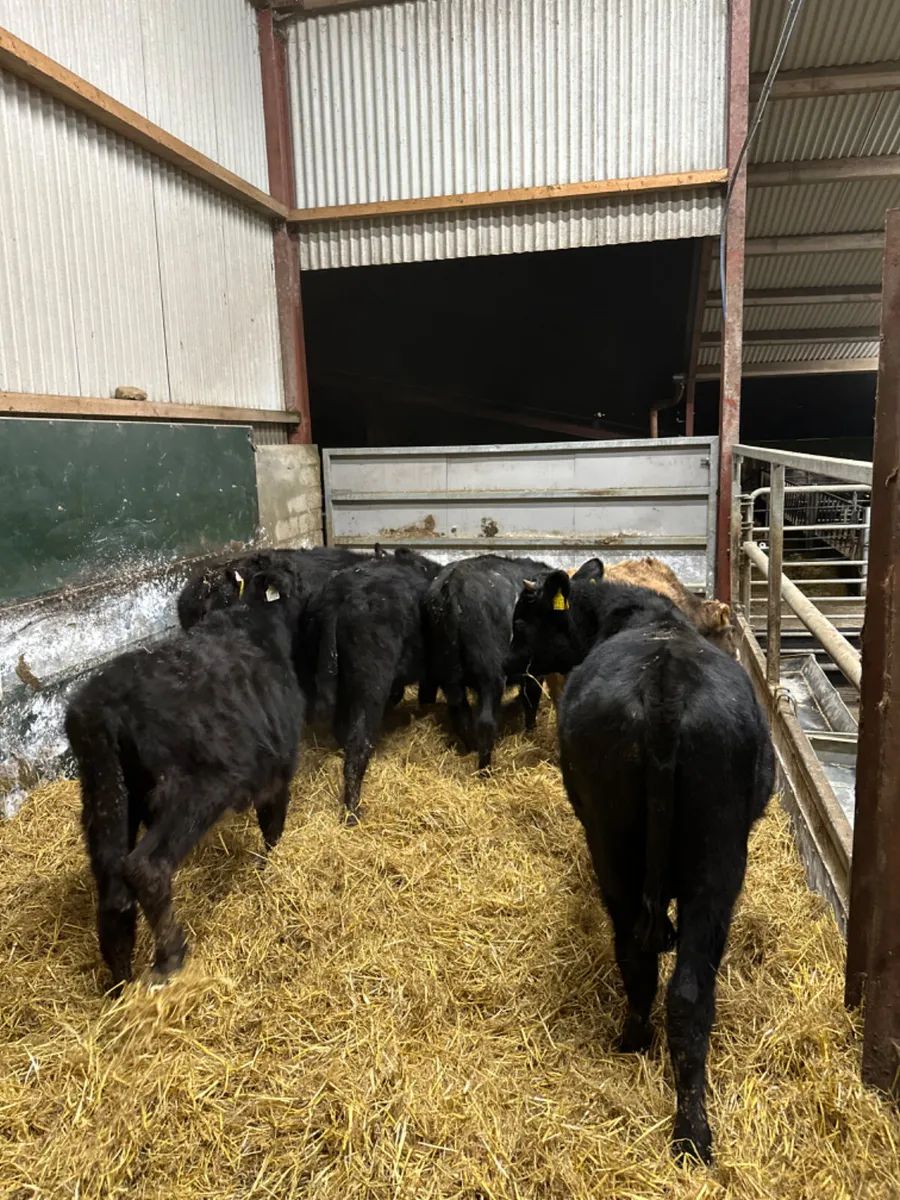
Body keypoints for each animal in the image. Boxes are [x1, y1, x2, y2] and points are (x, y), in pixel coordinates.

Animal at [65, 561, 306, 991]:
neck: (249, 622)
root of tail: (100, 705)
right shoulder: (278, 763)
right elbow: (273, 825)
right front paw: (271, 866)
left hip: (106, 798)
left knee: (113, 895)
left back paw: (121, 985)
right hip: (195, 791)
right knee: (145, 868)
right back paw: (170, 959)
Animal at [423, 554, 553, 770]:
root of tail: (453, 586)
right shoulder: (534, 671)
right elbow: (531, 697)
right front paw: (531, 728)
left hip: (448, 674)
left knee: (460, 713)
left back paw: (471, 749)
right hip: (490, 675)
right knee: (485, 722)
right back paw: (485, 769)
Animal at [506, 560, 774, 1163]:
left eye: (520, 621)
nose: (506, 662)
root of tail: (665, 688)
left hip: (624, 854)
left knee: (647, 963)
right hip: (711, 866)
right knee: (679, 985)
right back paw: (684, 1118)